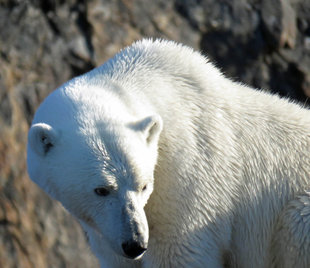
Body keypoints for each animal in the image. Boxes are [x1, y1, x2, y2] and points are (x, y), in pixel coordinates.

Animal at [27, 39, 310, 268]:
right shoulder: (106, 228)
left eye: (143, 185)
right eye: (101, 189)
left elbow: (179, 254)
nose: (135, 244)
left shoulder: (189, 178)